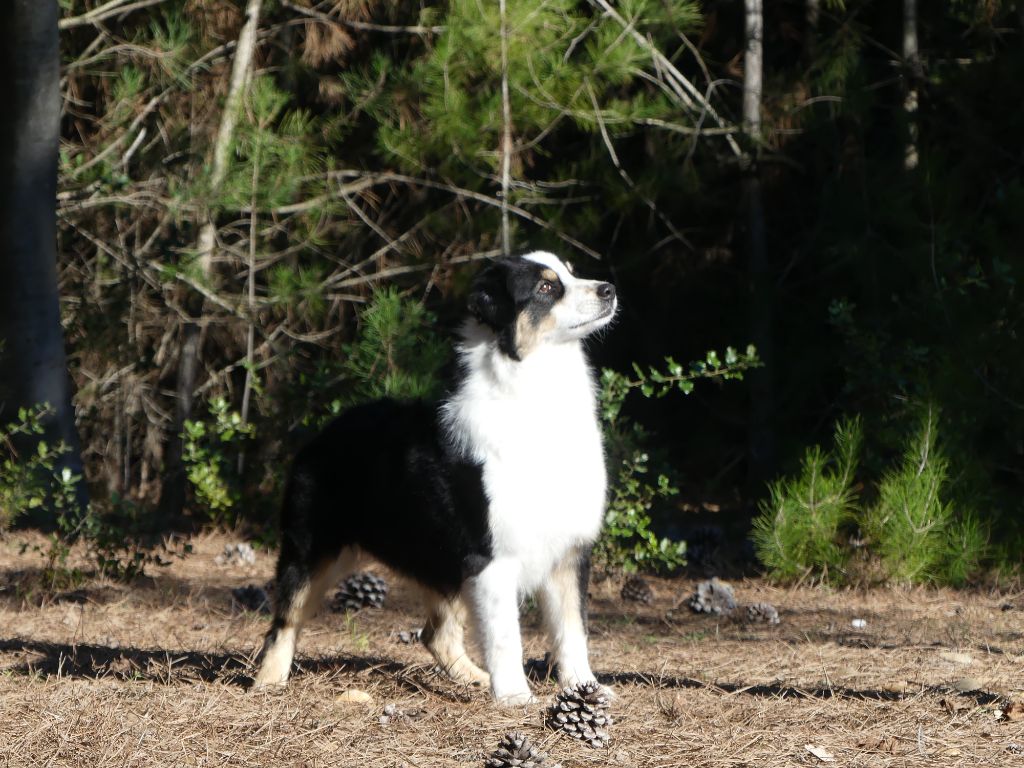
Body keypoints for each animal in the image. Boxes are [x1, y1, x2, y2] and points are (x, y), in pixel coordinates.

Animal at [253, 250, 614, 704]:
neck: (532, 390)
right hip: (312, 549)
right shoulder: (490, 554)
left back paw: (474, 677)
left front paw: (585, 690)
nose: (609, 289)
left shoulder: (568, 551)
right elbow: (505, 636)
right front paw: (515, 697)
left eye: (571, 271)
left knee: (435, 634)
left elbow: (573, 631)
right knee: (283, 622)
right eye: (547, 286)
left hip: (443, 560)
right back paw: (268, 683)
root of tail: (324, 430)